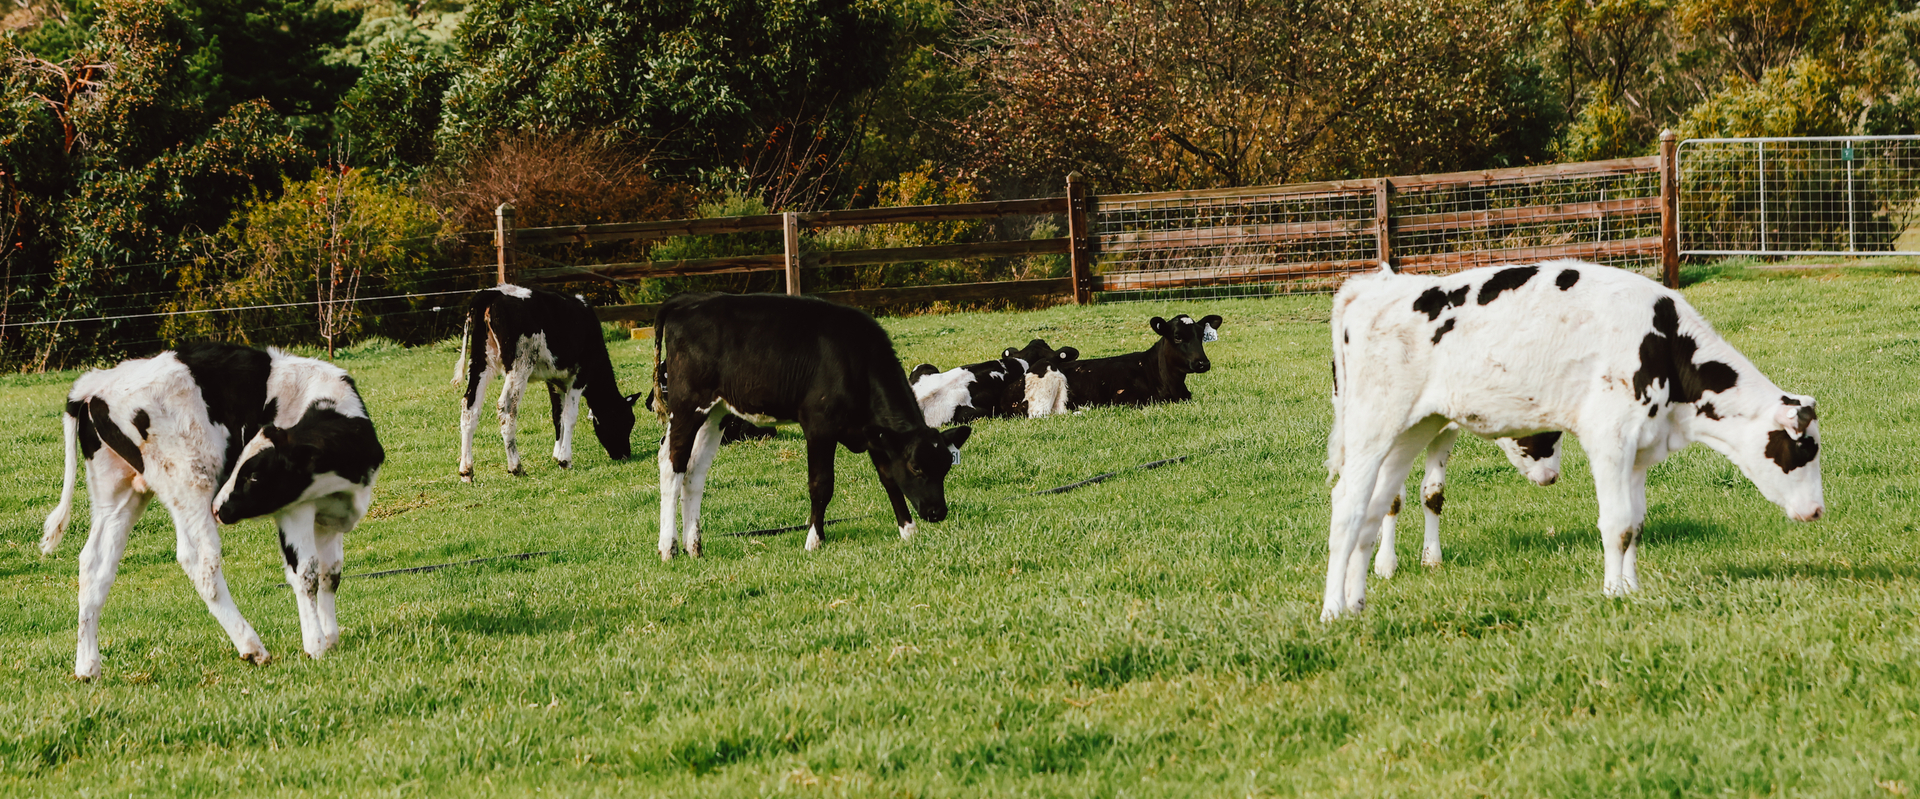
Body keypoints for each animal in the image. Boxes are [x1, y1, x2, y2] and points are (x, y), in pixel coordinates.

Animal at [40, 343, 385, 679]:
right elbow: (307, 573)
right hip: (190, 481)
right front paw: (315, 645)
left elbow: (331, 573)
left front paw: (331, 637)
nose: (220, 507)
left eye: (254, 474)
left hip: (118, 495)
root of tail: (96, 383)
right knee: (200, 561)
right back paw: (251, 647)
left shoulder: (330, 517)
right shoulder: (294, 509)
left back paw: (88, 666)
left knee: (95, 565)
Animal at [454, 285, 640, 481]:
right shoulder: (580, 374)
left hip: (481, 362)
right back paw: (516, 466)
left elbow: (557, 415)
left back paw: (466, 470)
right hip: (520, 364)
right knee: (506, 407)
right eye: (626, 421)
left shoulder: (554, 379)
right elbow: (570, 416)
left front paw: (557, 454)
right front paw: (565, 460)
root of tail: (494, 292)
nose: (624, 455)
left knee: (470, 406)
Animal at [651, 292, 972, 559]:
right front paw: (814, 540)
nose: (937, 511)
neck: (857, 360)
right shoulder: (819, 426)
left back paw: (694, 547)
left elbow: (889, 479)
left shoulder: (876, 434)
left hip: (716, 412)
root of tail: (686, 302)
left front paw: (908, 530)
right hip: (688, 406)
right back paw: (669, 547)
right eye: (917, 468)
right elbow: (821, 484)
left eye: (945, 465)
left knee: (694, 472)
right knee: (672, 464)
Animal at [1322, 260, 1823, 621]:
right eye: (1804, 448)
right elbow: (1616, 524)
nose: (1818, 511)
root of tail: (1371, 289)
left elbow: (1636, 523)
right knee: (1347, 507)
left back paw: (1357, 603)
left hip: (1414, 430)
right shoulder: (1609, 437)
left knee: (1374, 509)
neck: (1663, 342)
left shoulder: (1639, 449)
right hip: (1371, 427)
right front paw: (1613, 593)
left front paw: (1631, 588)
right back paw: (1332, 612)